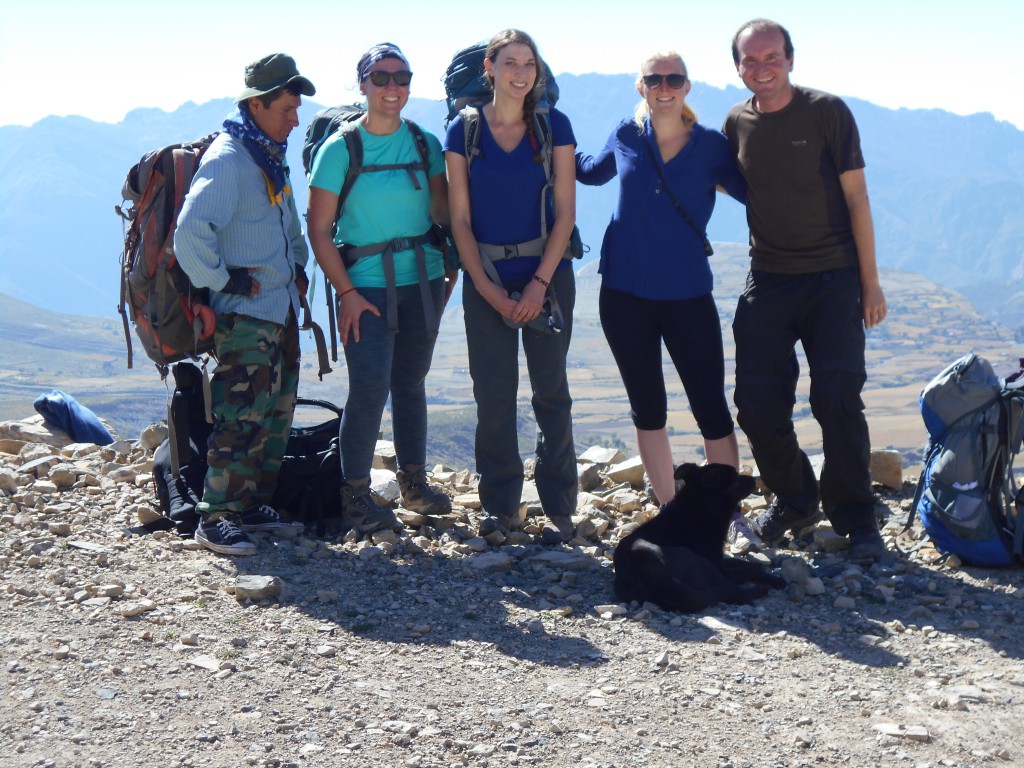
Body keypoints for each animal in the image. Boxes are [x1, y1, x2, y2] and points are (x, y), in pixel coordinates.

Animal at [614, 462, 782, 614]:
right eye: (735, 477)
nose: (755, 480)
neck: (699, 508)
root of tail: (656, 579)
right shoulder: (718, 566)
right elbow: (745, 570)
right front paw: (770, 576)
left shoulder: (719, 560)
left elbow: (742, 563)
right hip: (702, 565)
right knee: (736, 593)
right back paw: (762, 589)